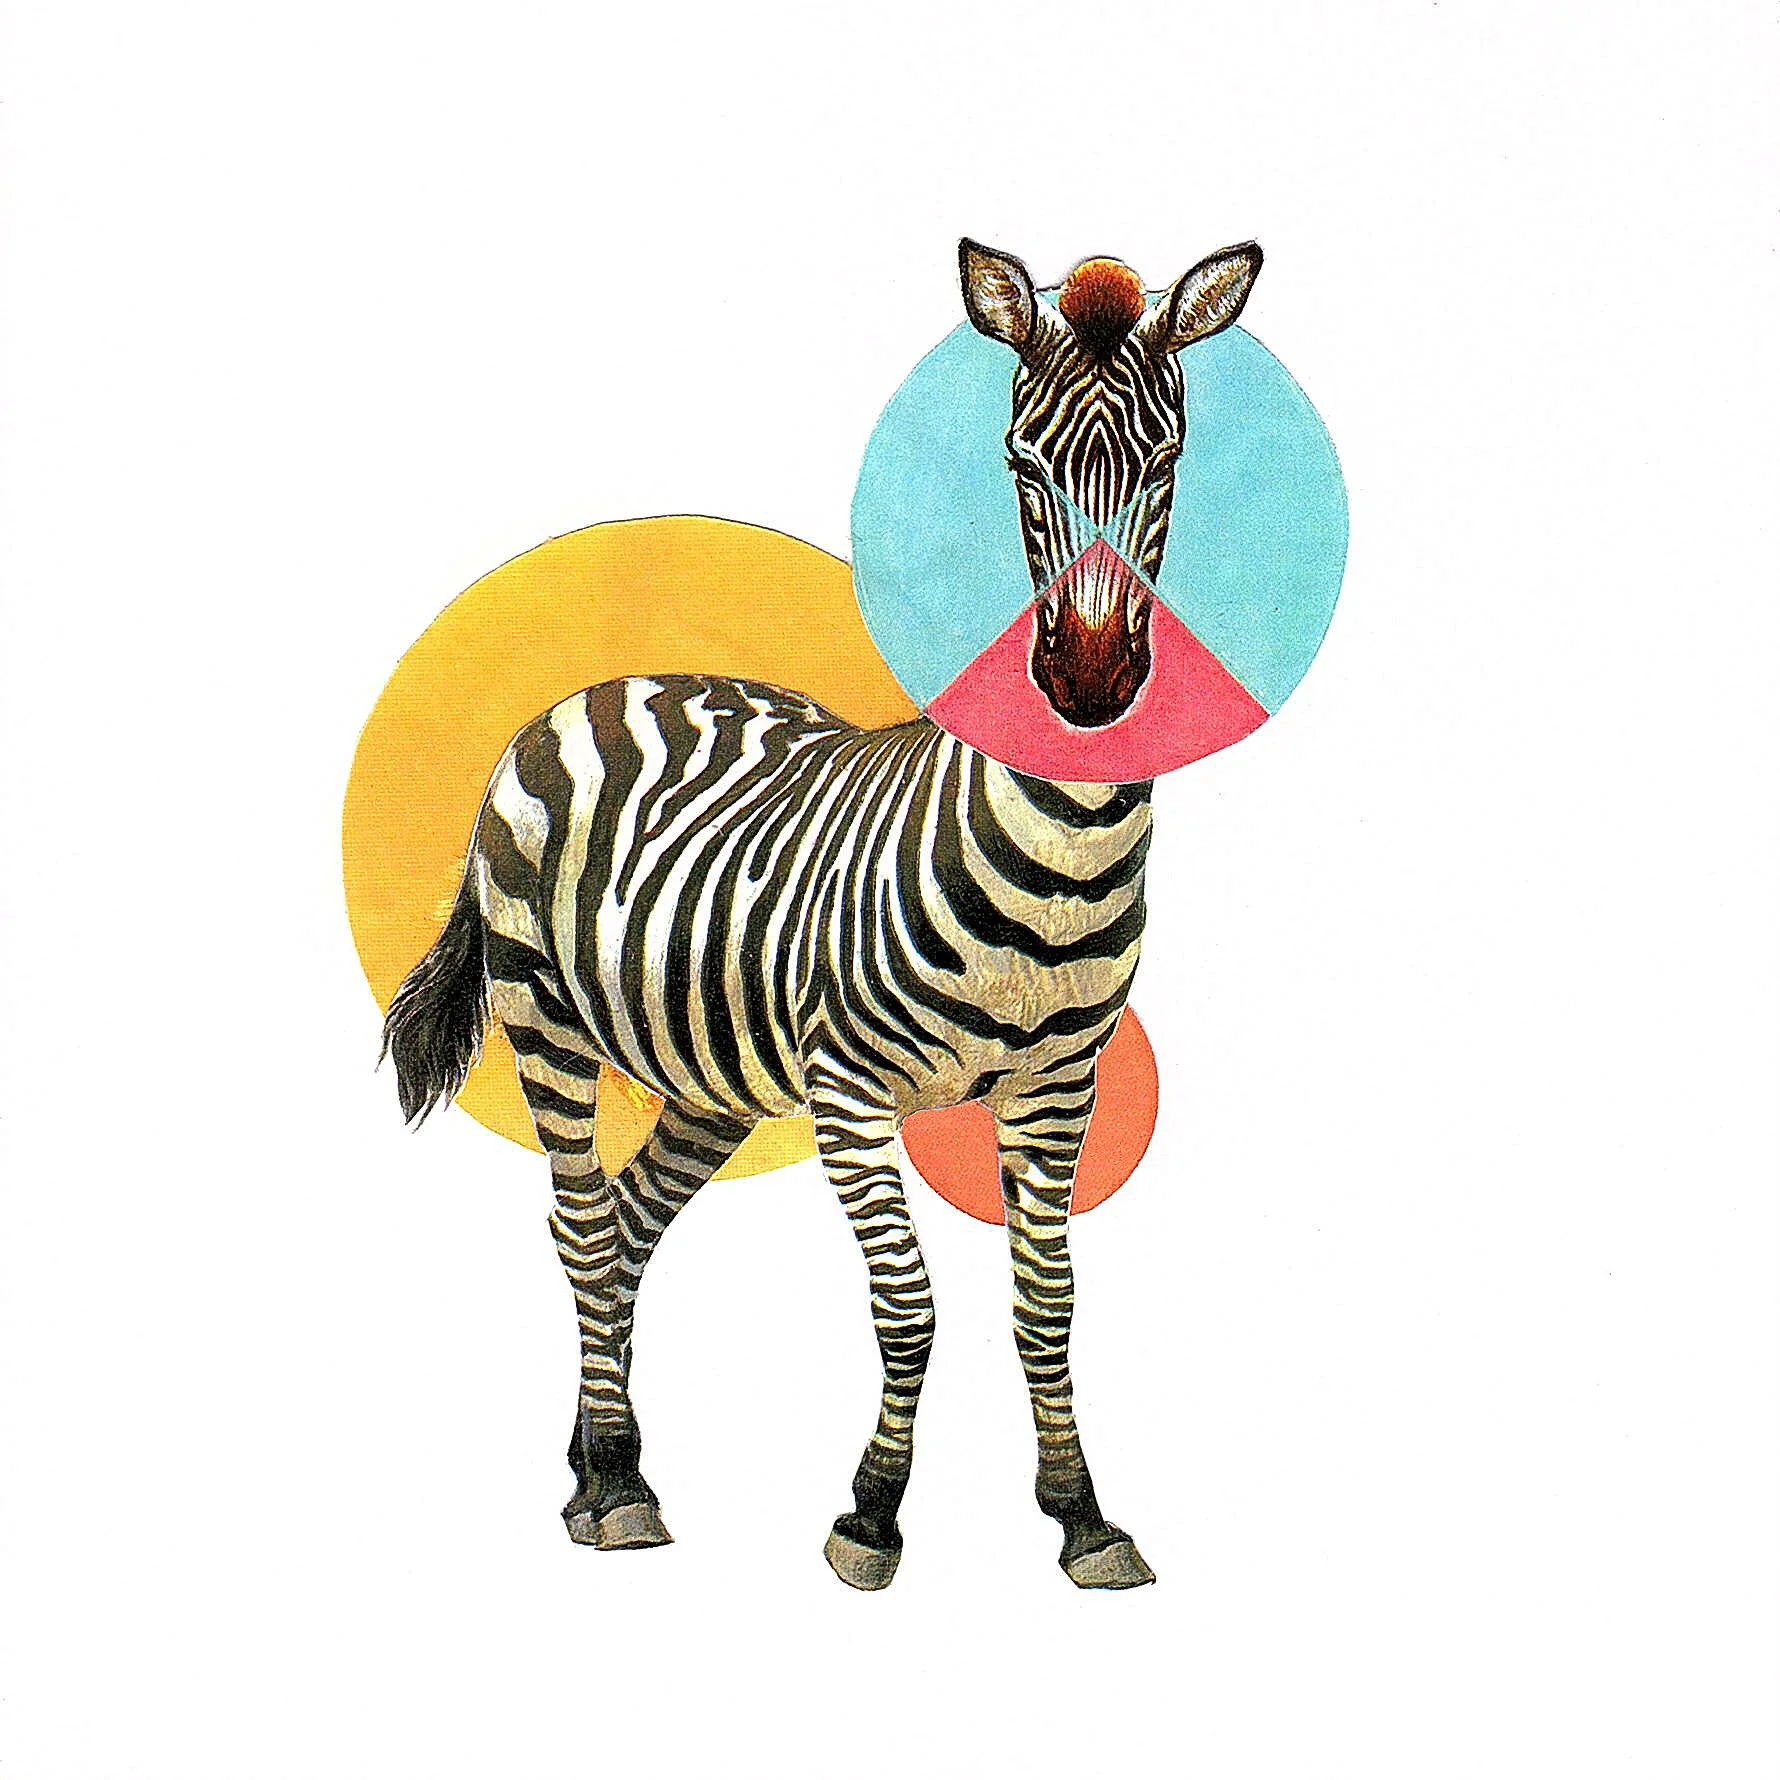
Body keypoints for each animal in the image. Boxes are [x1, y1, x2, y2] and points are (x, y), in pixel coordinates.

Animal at [381, 237, 1262, 1590]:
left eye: (1167, 458)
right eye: (1020, 459)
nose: (1089, 682)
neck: (1058, 859)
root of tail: (601, 690)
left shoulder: (1059, 1089)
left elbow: (1046, 1306)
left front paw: (1081, 1514)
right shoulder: (851, 1093)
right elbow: (909, 1309)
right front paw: (872, 1514)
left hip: (709, 1075)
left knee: (626, 1228)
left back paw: (596, 1466)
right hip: (547, 1022)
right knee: (579, 1223)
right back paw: (618, 1487)